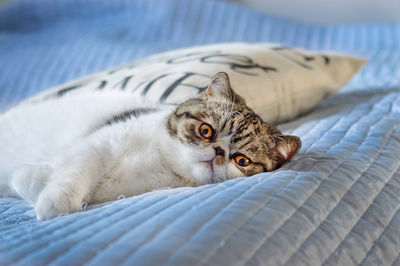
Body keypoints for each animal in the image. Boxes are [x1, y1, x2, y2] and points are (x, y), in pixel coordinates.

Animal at [0, 71, 300, 219]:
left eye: (241, 160)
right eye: (206, 131)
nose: (218, 152)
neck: (163, 162)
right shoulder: (100, 144)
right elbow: (73, 171)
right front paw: (53, 202)